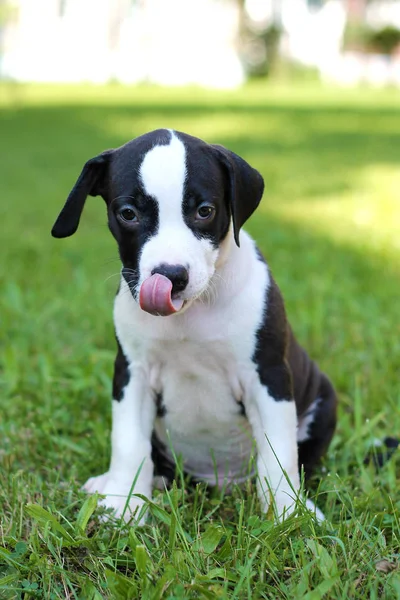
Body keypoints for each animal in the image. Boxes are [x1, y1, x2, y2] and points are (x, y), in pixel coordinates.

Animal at [51, 129, 336, 524]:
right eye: (128, 214)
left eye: (205, 211)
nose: (170, 276)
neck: (190, 314)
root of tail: (221, 482)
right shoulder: (132, 373)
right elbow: (128, 443)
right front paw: (124, 503)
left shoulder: (268, 376)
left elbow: (279, 454)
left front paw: (288, 514)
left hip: (324, 400)